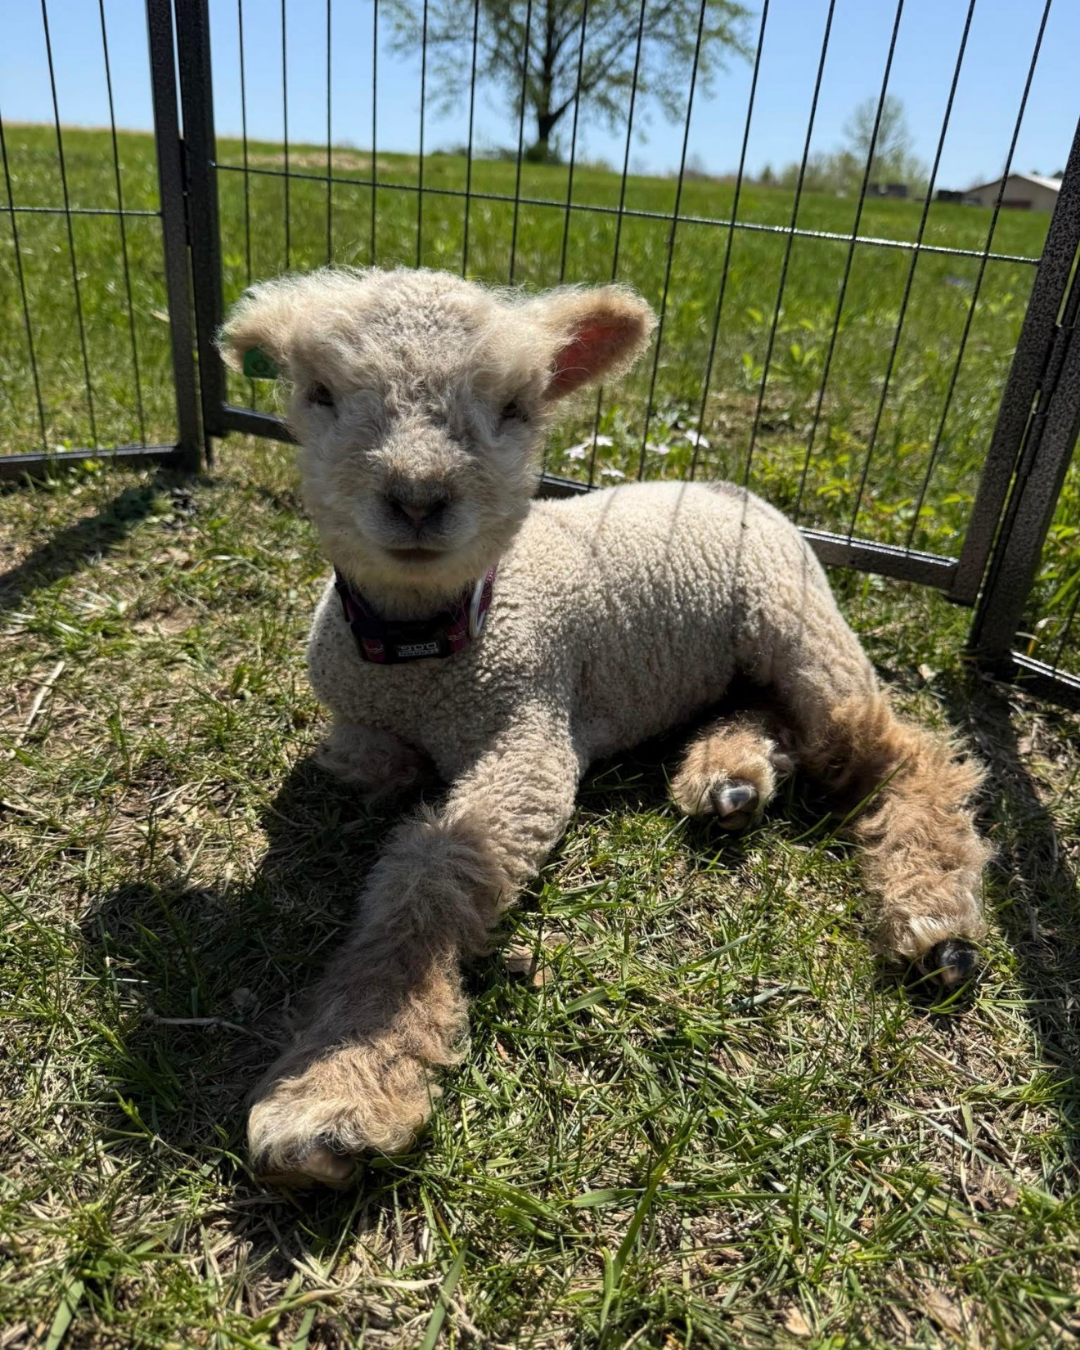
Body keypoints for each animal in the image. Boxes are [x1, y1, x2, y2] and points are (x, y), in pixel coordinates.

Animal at [218, 266, 991, 1189]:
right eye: (321, 394)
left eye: (515, 406)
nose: (417, 498)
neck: (420, 658)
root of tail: (724, 483)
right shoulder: (360, 724)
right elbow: (366, 768)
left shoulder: (530, 730)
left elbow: (428, 877)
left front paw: (341, 1081)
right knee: (770, 717)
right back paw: (730, 777)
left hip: (796, 620)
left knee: (901, 755)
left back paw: (935, 920)